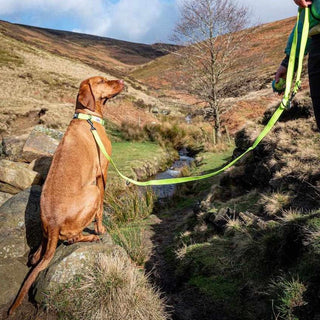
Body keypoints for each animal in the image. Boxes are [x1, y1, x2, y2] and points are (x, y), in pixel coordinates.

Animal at [8, 75, 124, 316]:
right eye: (101, 80)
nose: (121, 80)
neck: (87, 118)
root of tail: (53, 224)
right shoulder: (102, 172)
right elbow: (101, 210)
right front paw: (100, 229)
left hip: (46, 232)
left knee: (40, 251)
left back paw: (37, 253)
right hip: (92, 191)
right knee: (72, 238)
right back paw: (91, 236)